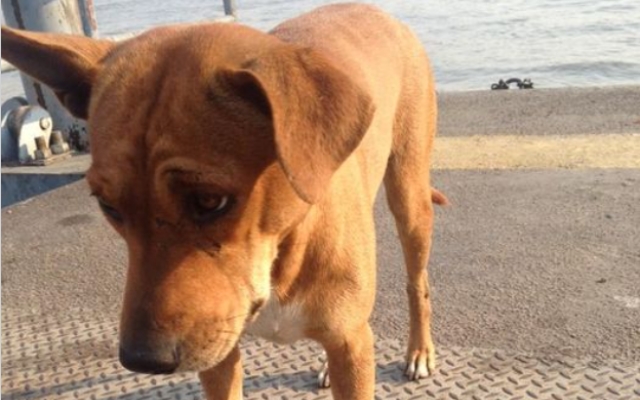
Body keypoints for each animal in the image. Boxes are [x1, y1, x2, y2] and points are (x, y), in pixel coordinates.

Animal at [2, 3, 448, 400]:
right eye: (107, 206)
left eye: (209, 200)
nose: (142, 360)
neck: (280, 254)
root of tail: (375, 12)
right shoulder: (219, 354)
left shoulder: (350, 347)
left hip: (409, 201)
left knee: (417, 284)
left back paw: (419, 350)